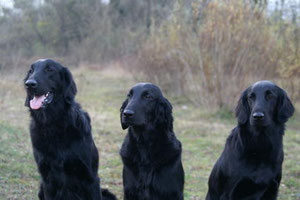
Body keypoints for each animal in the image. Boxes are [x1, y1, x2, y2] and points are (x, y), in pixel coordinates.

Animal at [23, 59, 116, 200]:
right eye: (31, 71)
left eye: (49, 70)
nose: (29, 84)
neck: (54, 125)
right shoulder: (47, 179)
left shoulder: (91, 178)